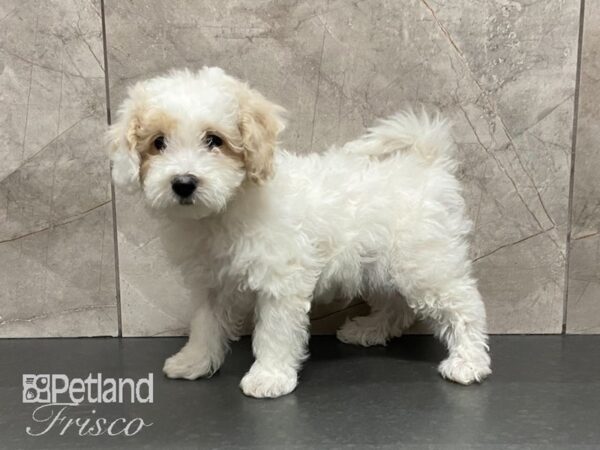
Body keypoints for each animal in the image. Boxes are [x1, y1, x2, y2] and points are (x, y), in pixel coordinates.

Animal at [108, 67, 492, 398]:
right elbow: (205, 324)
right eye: (158, 143)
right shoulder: (210, 283)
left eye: (214, 140)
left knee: (465, 306)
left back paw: (469, 362)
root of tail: (427, 161)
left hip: (425, 264)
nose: (183, 183)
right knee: (397, 307)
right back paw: (367, 330)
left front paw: (269, 376)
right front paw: (194, 361)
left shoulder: (281, 281)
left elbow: (275, 332)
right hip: (381, 266)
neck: (225, 209)